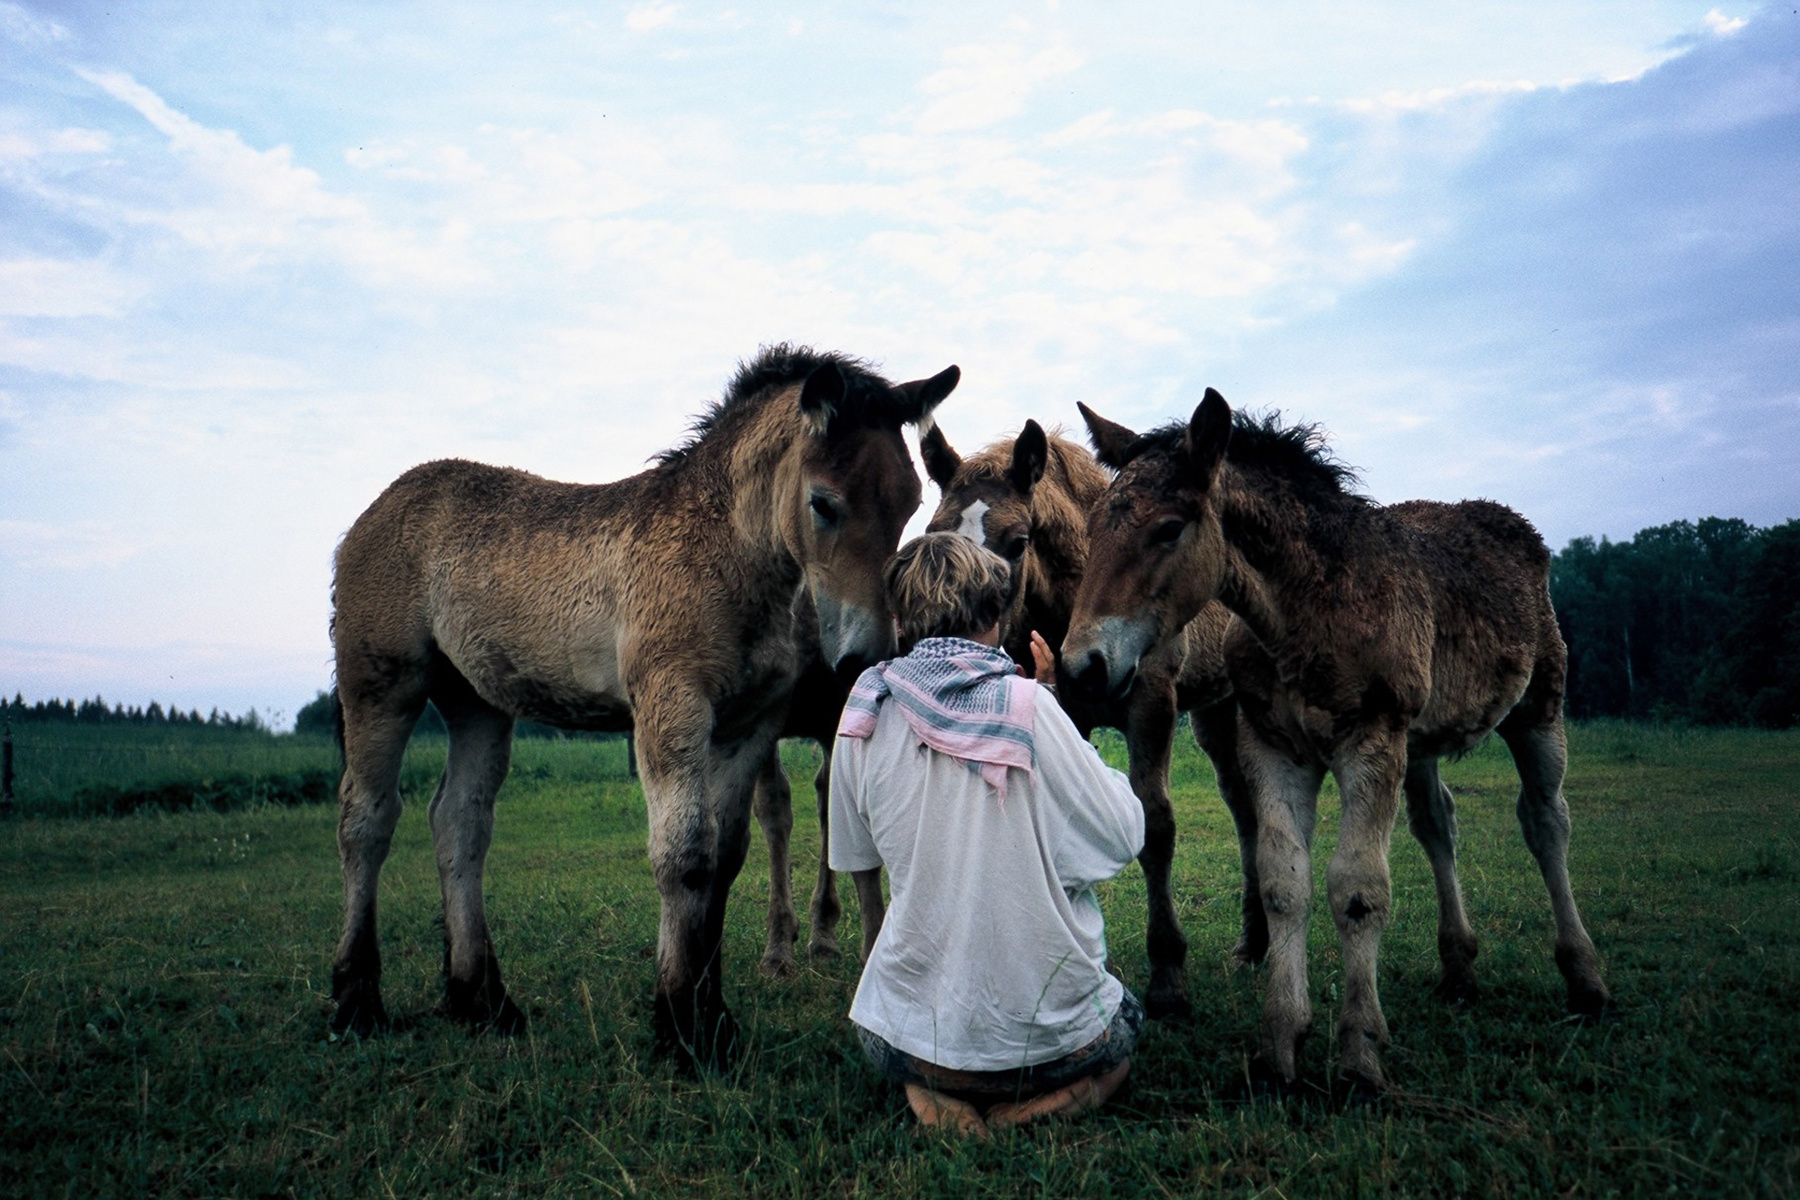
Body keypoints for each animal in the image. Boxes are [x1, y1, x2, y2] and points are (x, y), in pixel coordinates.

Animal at [331, 341, 964, 1065]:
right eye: (824, 503)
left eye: (910, 503)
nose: (867, 655)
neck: (720, 549)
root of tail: (375, 510)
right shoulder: (672, 703)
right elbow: (684, 855)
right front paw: (681, 1026)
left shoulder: (750, 725)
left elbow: (726, 858)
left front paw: (713, 1015)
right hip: (381, 685)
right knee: (366, 819)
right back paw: (356, 1000)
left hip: (477, 703)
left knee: (459, 822)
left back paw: (483, 1002)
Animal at [921, 417, 1260, 1021]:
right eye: (936, 532)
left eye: (1018, 542)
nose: (956, 624)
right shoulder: (1068, 714)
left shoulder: (1153, 706)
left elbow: (1157, 825)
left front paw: (1168, 976)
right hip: (1213, 713)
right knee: (1242, 804)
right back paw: (1252, 941)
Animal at [1058, 392, 1612, 1101]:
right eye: (1096, 528)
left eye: (1170, 528)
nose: (1082, 667)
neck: (1305, 612)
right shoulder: (1275, 748)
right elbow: (1283, 882)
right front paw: (1279, 1048)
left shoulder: (1369, 742)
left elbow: (1357, 889)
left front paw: (1359, 1056)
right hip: (1421, 742)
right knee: (1438, 825)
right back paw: (1459, 972)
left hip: (1538, 711)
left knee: (1546, 824)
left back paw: (1585, 978)